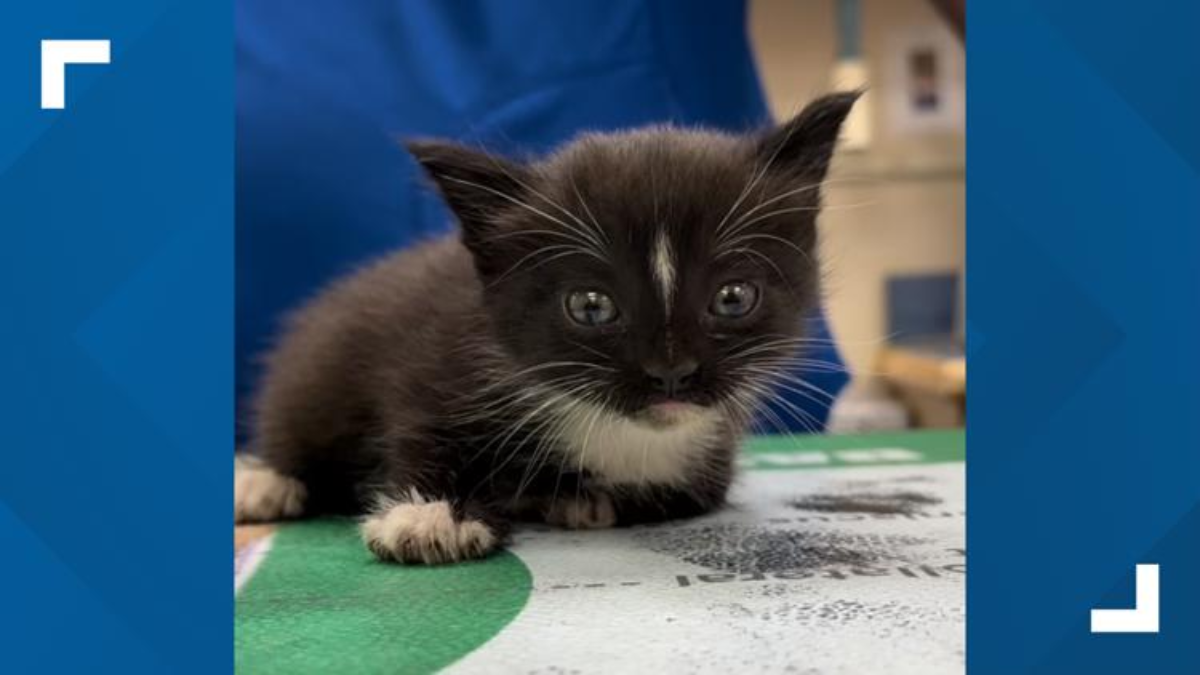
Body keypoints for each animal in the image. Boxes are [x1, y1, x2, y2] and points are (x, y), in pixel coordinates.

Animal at [234, 90, 859, 562]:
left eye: (732, 297)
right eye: (591, 307)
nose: (671, 372)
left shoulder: (707, 464)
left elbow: (684, 491)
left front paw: (574, 499)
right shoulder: (438, 354)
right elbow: (420, 424)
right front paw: (429, 514)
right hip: (316, 367)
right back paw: (265, 483)